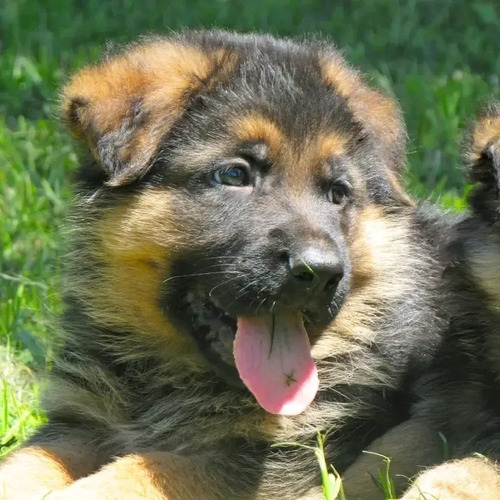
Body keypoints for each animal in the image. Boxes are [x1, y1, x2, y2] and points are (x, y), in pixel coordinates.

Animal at [0, 32, 466, 500]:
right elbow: (27, 462)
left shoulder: (274, 459)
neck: (168, 376)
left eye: (338, 192)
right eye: (234, 175)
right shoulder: (79, 423)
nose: (320, 272)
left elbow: (144, 467)